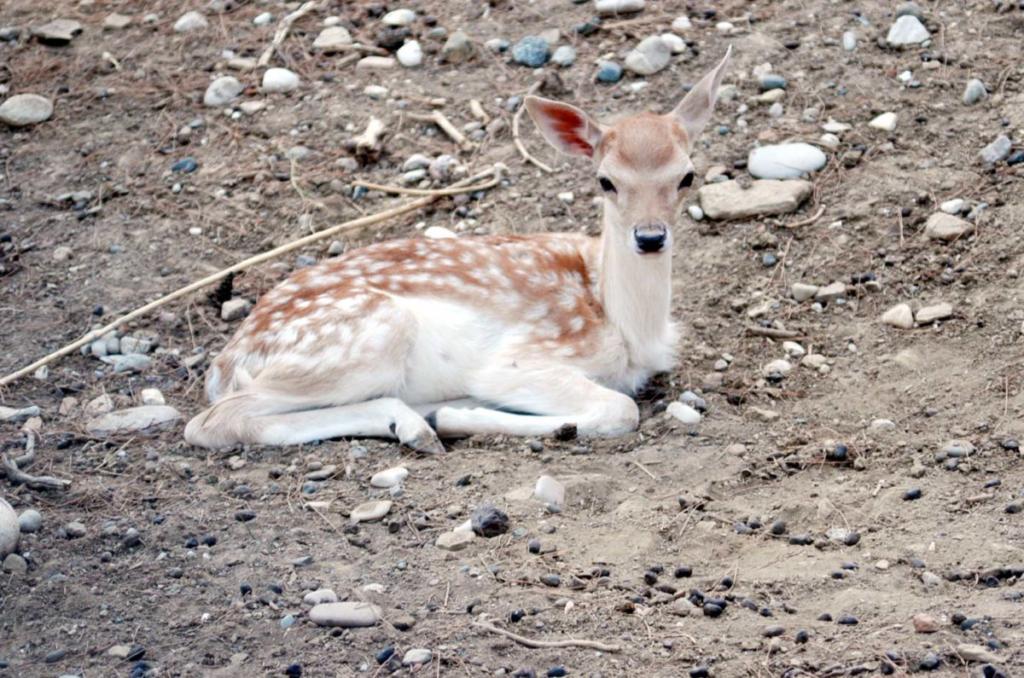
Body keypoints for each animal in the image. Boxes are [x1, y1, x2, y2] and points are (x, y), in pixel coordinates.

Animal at [184, 47, 729, 450]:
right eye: (606, 181)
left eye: (687, 176)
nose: (650, 237)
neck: (624, 324)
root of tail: (223, 367)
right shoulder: (520, 360)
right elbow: (621, 407)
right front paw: (460, 415)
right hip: (363, 337)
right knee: (213, 422)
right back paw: (426, 422)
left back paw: (413, 422)